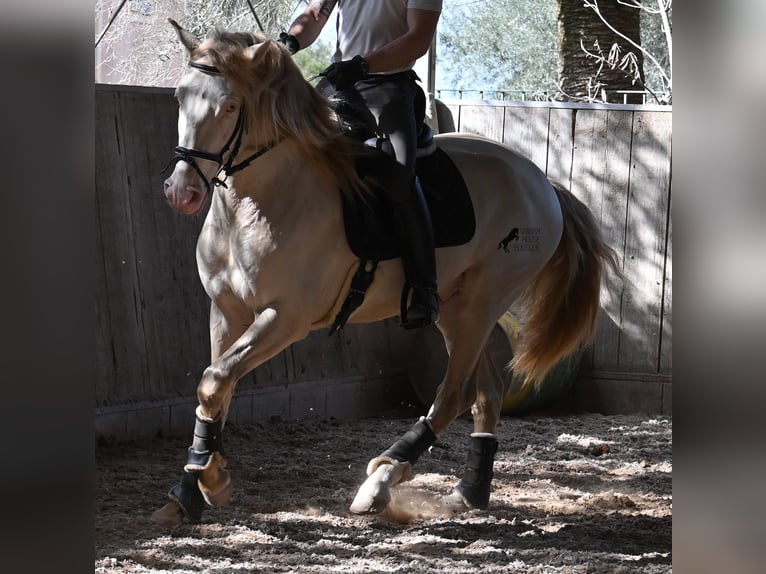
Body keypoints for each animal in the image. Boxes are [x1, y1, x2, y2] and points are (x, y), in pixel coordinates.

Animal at [152, 21, 624, 528]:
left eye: (230, 105)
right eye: (180, 96)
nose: (181, 192)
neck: (259, 202)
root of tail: (542, 181)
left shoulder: (286, 318)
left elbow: (215, 380)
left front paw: (210, 479)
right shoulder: (226, 312)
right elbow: (215, 388)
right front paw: (194, 484)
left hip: (482, 302)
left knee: (454, 394)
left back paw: (380, 483)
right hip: (457, 308)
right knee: (488, 392)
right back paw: (469, 492)